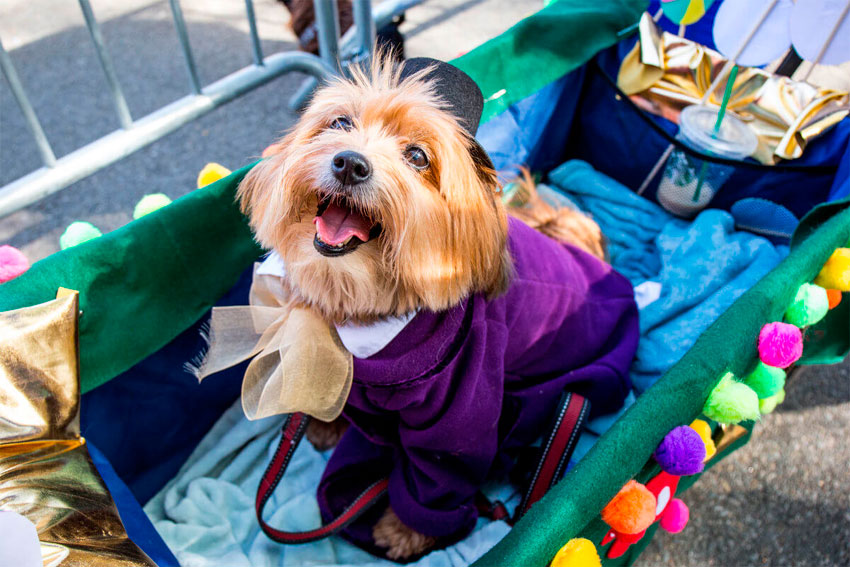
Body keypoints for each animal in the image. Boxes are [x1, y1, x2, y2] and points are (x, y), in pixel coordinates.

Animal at [238, 55, 636, 560]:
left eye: (417, 157)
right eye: (341, 123)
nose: (349, 163)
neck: (372, 307)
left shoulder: (458, 412)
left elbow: (438, 472)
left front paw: (406, 532)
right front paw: (330, 425)